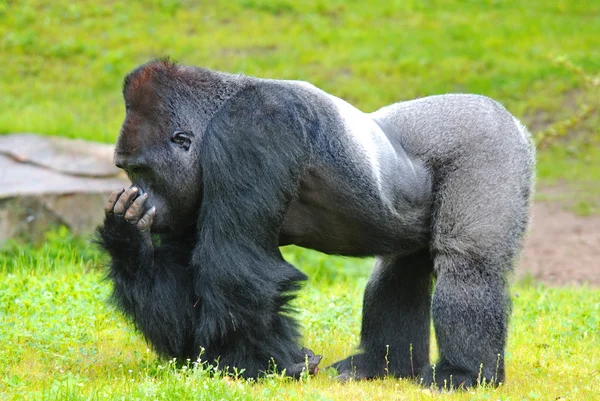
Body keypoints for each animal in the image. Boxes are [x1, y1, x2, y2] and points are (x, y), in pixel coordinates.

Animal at [96, 58, 536, 388]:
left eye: (140, 169)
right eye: (127, 170)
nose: (140, 194)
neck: (215, 113)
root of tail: (512, 120)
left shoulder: (251, 127)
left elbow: (236, 267)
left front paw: (260, 364)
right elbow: (185, 291)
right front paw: (126, 237)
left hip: (489, 141)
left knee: (469, 263)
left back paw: (464, 374)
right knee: (399, 271)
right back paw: (383, 365)